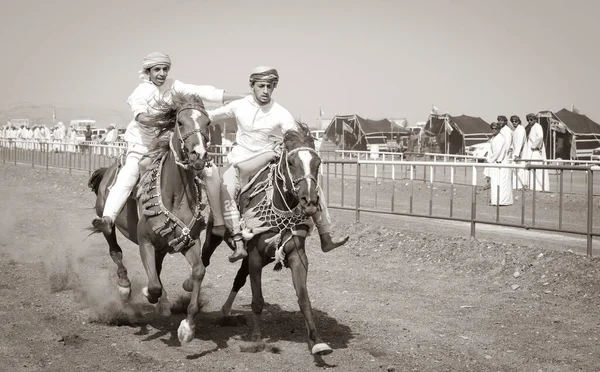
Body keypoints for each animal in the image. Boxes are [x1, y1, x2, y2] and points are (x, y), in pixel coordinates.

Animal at [88, 92, 211, 342]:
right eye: (180, 122)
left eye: (208, 123)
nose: (199, 155)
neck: (175, 196)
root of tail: (106, 172)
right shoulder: (145, 242)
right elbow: (153, 285)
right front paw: (149, 293)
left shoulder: (189, 241)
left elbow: (198, 271)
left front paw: (187, 327)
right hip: (107, 221)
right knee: (115, 249)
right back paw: (125, 286)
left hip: (163, 244)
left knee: (158, 266)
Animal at [200, 123, 332, 356]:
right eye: (291, 162)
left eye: (318, 163)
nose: (310, 202)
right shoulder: (254, 256)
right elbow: (257, 300)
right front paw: (256, 338)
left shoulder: (296, 256)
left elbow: (304, 299)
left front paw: (317, 341)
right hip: (214, 236)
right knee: (204, 261)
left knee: (239, 278)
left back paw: (226, 310)